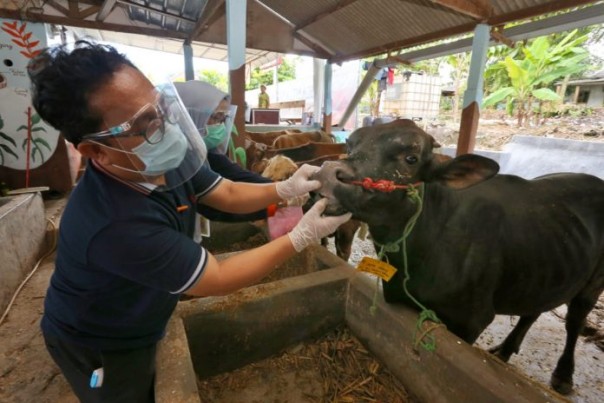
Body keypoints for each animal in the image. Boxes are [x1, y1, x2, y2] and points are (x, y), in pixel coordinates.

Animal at [316, 118, 604, 396]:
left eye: (411, 158)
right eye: (350, 146)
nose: (328, 174)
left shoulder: (471, 320)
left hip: (592, 285)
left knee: (574, 322)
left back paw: (563, 375)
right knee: (532, 311)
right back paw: (504, 350)